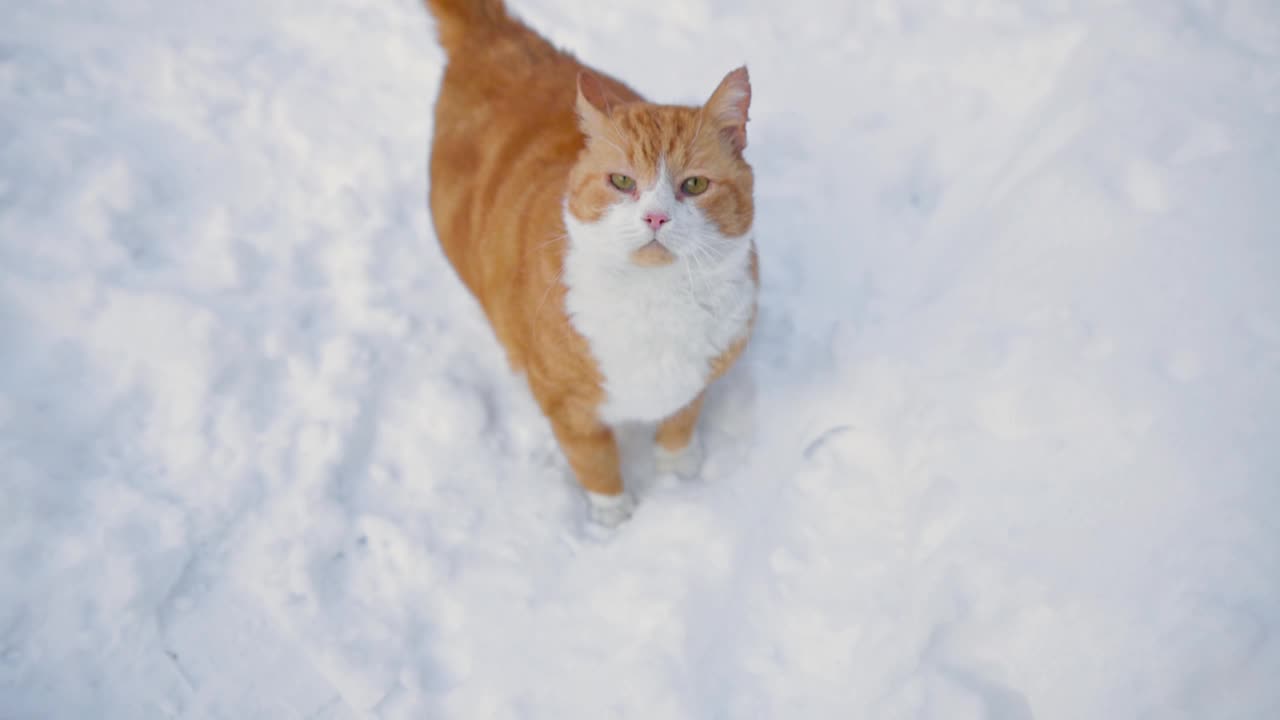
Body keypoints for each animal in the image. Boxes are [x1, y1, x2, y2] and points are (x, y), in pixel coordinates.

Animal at [424, 0, 752, 527]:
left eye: (695, 185)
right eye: (622, 181)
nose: (656, 216)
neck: (656, 301)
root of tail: (497, 36)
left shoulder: (700, 374)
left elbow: (682, 419)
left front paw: (678, 468)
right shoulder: (565, 403)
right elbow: (593, 460)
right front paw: (614, 517)